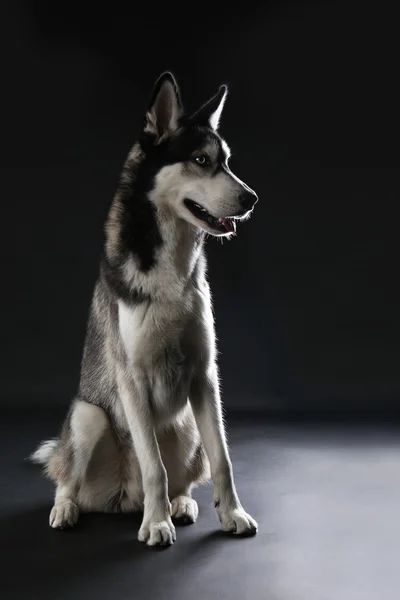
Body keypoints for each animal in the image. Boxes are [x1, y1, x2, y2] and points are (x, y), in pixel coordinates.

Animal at [31, 72, 258, 548]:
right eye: (200, 159)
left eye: (227, 161)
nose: (252, 199)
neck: (171, 264)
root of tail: (123, 499)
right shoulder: (131, 378)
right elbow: (153, 464)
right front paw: (156, 524)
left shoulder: (204, 374)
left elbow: (223, 459)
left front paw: (232, 513)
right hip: (88, 416)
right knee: (67, 476)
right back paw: (70, 507)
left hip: (187, 422)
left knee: (185, 475)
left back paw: (181, 503)